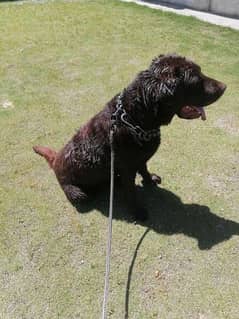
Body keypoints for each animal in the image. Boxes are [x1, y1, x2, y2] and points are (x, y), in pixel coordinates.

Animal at [33, 54, 226, 220]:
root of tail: (56, 158)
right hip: (75, 191)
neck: (135, 117)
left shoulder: (140, 159)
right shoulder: (127, 168)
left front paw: (150, 180)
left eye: (200, 71)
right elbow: (131, 192)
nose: (225, 87)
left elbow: (144, 169)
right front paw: (137, 211)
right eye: (196, 80)